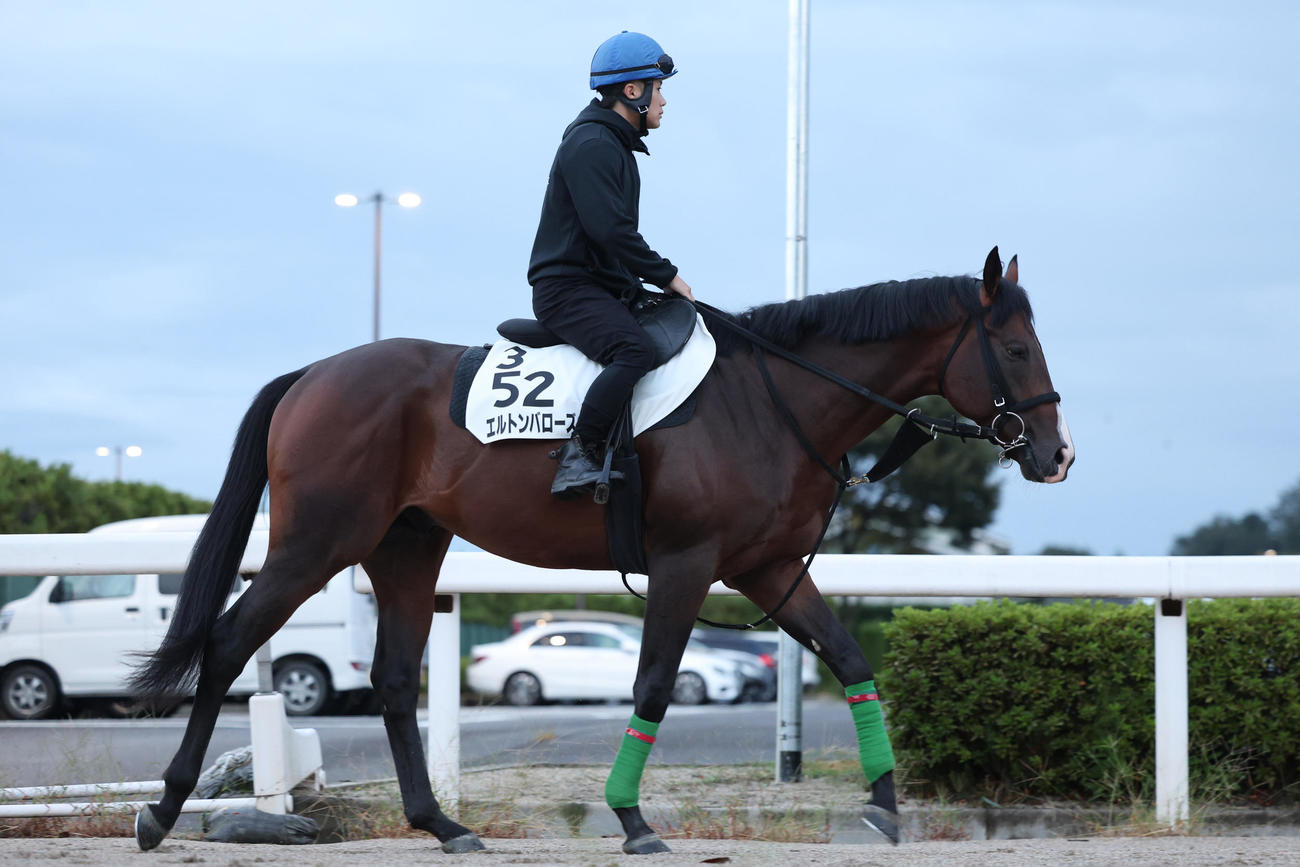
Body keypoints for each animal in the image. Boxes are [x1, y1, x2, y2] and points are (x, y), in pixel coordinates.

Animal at [129, 247, 1074, 854]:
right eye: (1016, 347)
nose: (1056, 455)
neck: (772, 399)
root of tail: (314, 374)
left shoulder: (766, 569)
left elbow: (848, 658)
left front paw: (883, 803)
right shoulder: (690, 564)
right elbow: (653, 682)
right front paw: (631, 817)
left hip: (405, 548)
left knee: (395, 679)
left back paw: (442, 824)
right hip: (317, 544)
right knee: (226, 642)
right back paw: (162, 808)